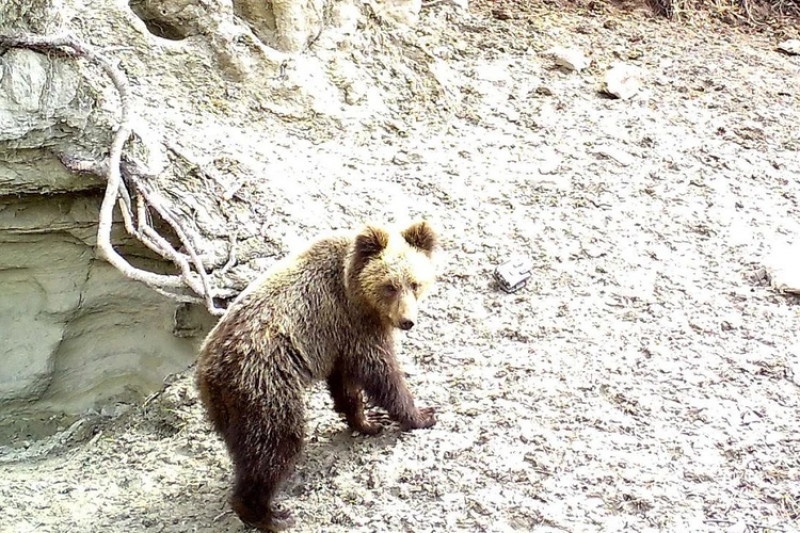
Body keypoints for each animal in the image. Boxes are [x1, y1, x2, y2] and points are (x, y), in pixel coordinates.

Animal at [198, 219, 440, 528]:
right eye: (390, 286)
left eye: (415, 283)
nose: (407, 321)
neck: (355, 291)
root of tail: (208, 371)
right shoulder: (353, 323)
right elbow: (382, 374)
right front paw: (421, 414)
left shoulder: (338, 340)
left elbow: (346, 386)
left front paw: (369, 421)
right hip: (266, 387)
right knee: (276, 443)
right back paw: (269, 515)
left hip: (230, 408)